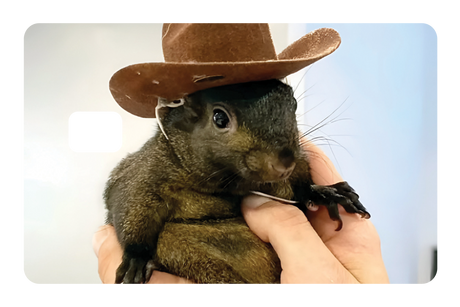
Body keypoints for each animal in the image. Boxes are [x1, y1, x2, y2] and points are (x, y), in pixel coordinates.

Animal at [104, 78, 370, 286]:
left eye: (293, 104)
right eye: (219, 118)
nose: (285, 163)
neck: (230, 183)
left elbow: (300, 189)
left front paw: (324, 193)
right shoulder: (145, 173)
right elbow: (131, 204)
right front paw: (136, 259)